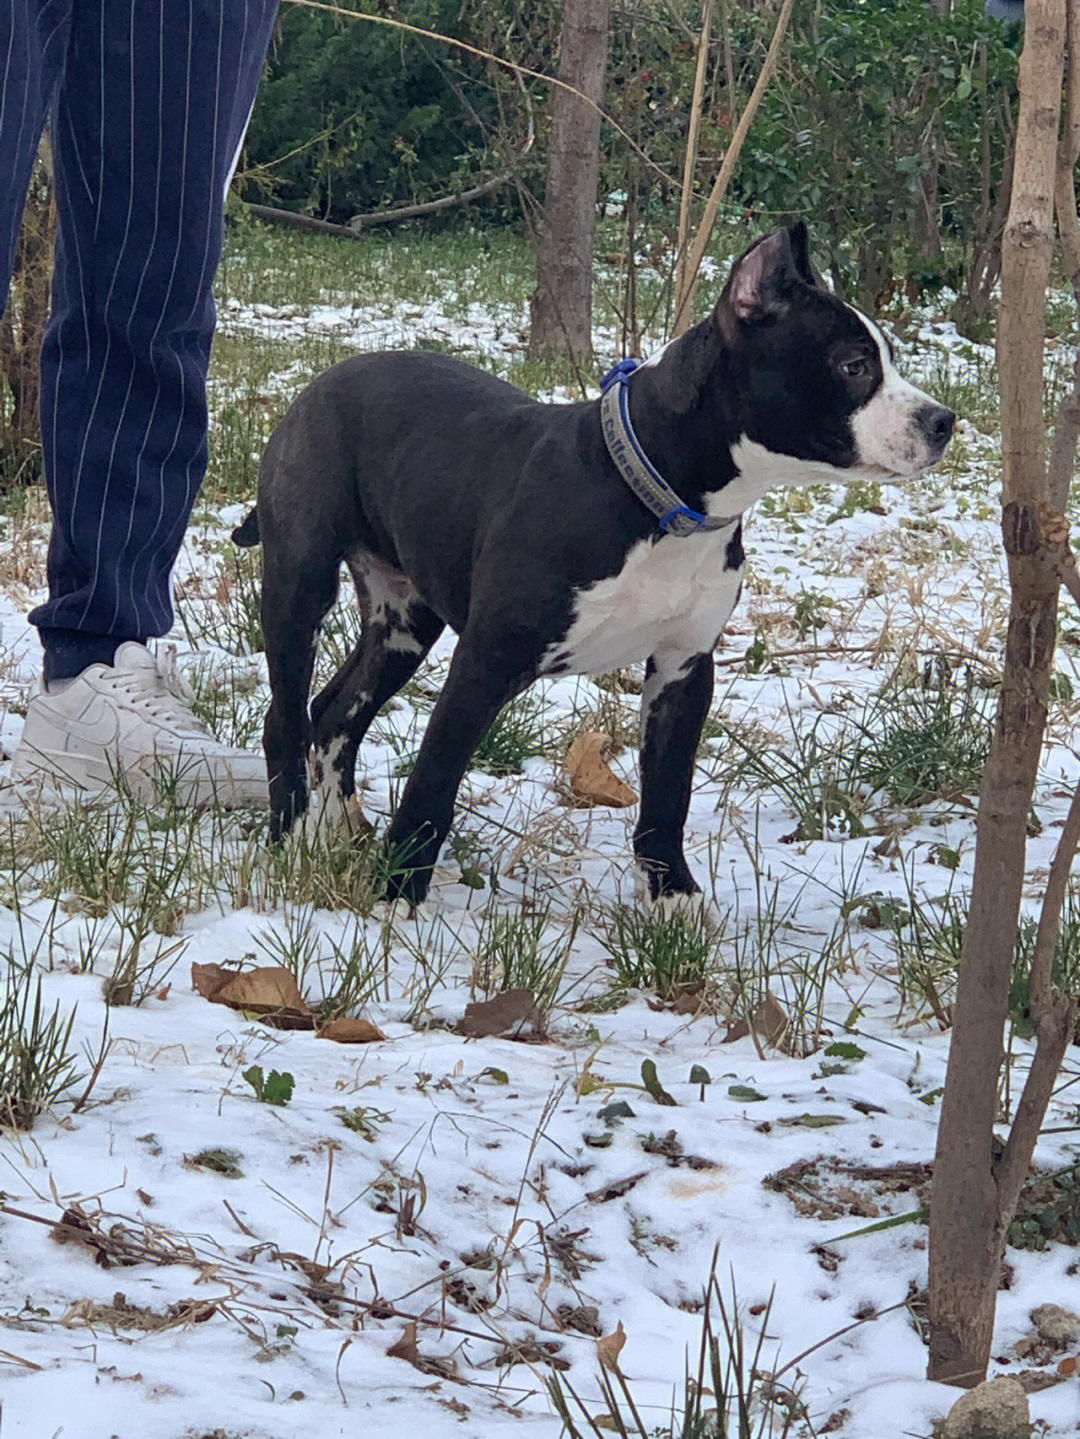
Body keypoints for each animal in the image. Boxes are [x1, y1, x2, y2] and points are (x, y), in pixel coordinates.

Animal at [235, 221, 954, 897]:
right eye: (854, 366)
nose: (944, 421)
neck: (664, 505)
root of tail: (321, 382)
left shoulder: (683, 668)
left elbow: (667, 795)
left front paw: (673, 897)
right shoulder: (487, 660)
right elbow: (432, 785)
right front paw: (396, 903)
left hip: (404, 622)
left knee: (335, 711)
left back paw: (333, 830)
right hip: (301, 583)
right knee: (286, 716)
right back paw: (289, 839)